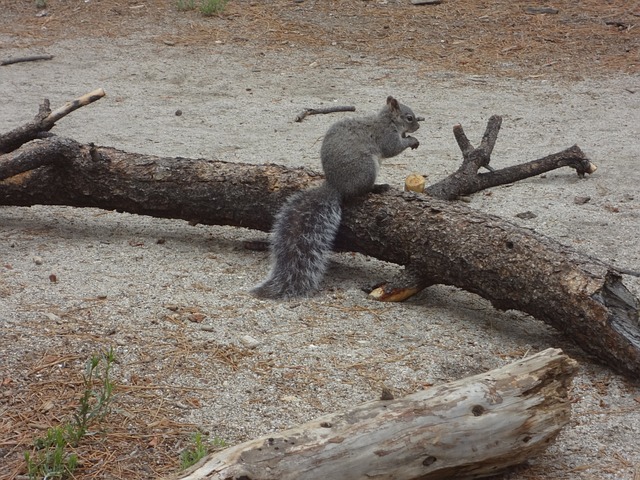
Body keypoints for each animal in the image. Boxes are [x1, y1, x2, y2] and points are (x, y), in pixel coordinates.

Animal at [251, 96, 424, 300]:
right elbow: (394, 148)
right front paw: (412, 140)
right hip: (367, 168)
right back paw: (378, 187)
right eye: (409, 117)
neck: (388, 120)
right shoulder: (386, 136)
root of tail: (336, 186)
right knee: (361, 191)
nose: (417, 127)